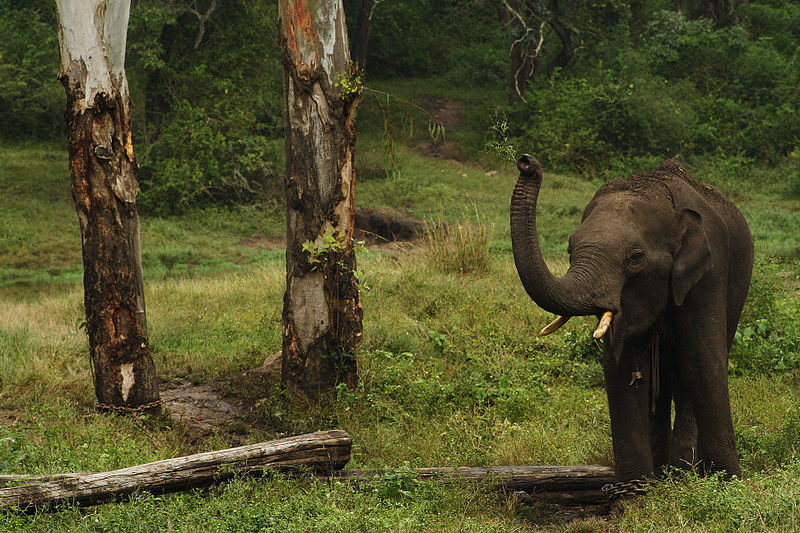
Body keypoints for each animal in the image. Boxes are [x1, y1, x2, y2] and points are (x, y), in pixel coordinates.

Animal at [510, 154, 752, 486]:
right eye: (570, 248)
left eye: (635, 257)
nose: (526, 162)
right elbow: (621, 368)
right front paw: (636, 491)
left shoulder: (709, 273)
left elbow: (704, 362)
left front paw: (727, 484)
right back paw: (667, 471)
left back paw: (683, 471)